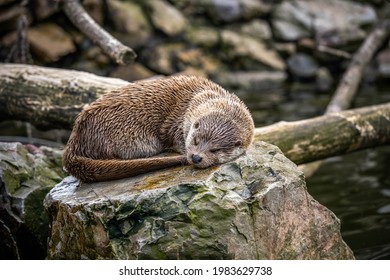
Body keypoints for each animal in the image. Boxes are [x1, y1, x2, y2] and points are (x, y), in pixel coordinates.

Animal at [62, 75, 254, 183]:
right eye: (195, 140)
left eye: (215, 150)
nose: (196, 157)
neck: (198, 96)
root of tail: (75, 139)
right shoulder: (176, 122)